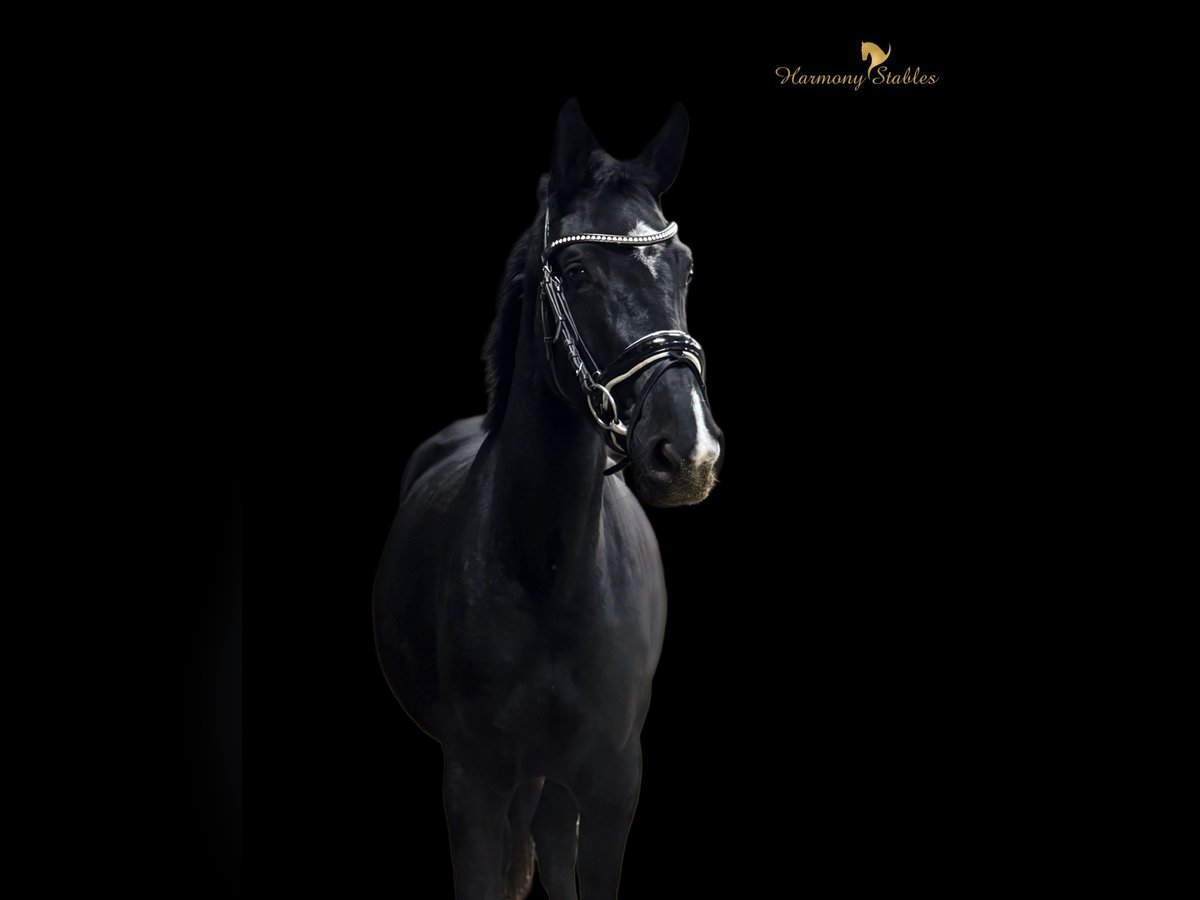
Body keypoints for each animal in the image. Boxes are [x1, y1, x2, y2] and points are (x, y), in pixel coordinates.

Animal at [374, 99, 723, 900]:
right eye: (575, 269)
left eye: (685, 266)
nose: (688, 453)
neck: (550, 571)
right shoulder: (471, 783)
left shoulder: (611, 783)